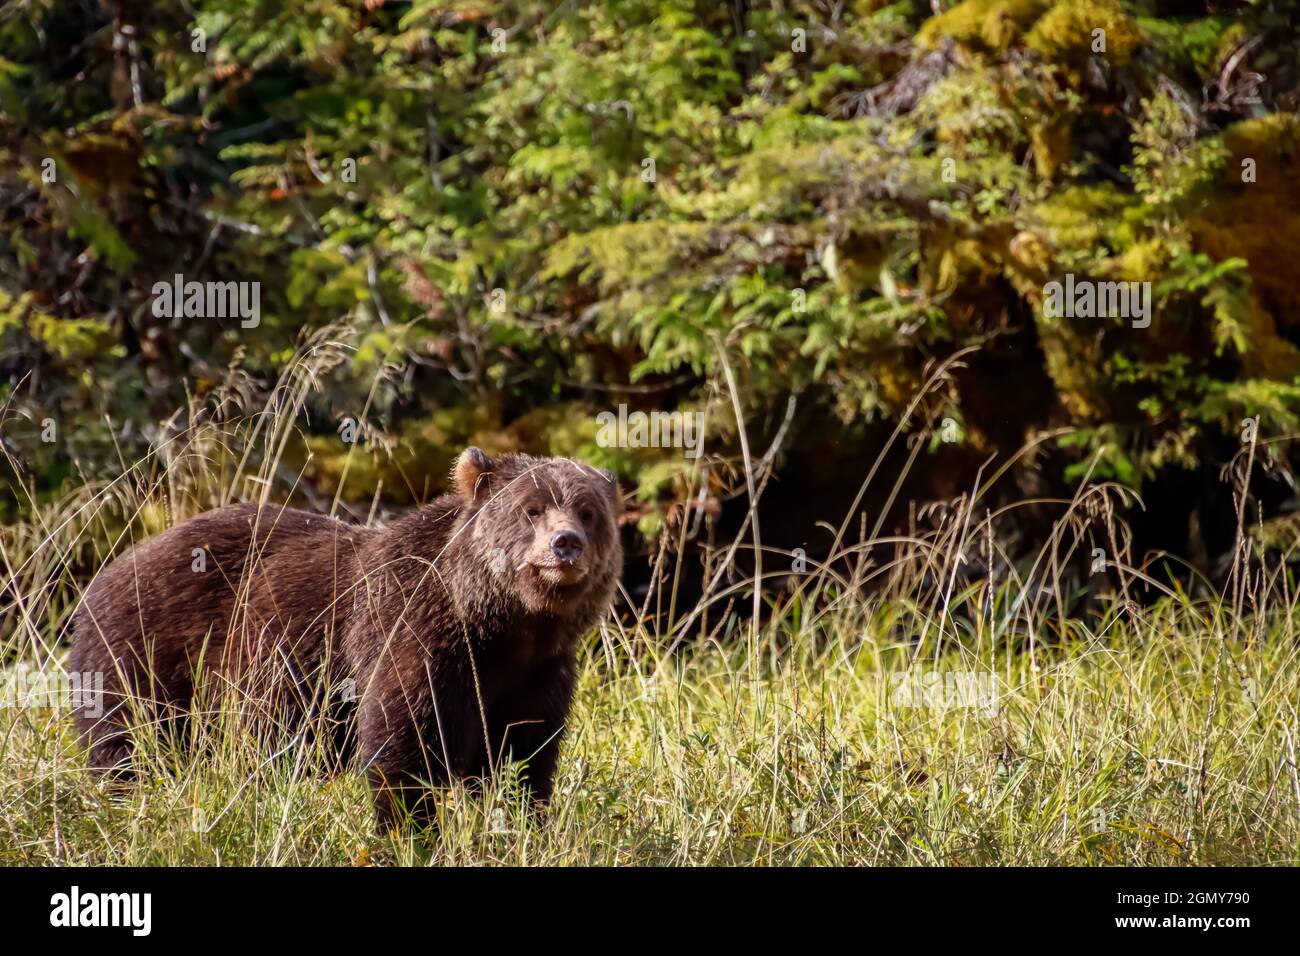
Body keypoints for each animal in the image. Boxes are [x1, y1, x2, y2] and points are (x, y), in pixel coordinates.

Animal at [67, 450, 624, 832]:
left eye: (587, 511)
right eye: (531, 508)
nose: (566, 543)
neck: (503, 626)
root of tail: (110, 570)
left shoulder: (538, 673)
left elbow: (524, 759)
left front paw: (521, 825)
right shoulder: (415, 637)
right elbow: (405, 747)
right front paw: (409, 832)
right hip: (149, 652)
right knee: (130, 746)